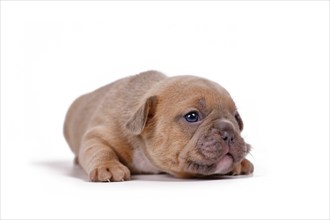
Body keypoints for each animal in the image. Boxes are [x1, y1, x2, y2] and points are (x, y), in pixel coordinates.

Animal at [65, 71, 255, 182]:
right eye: (192, 116)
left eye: (237, 118)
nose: (229, 132)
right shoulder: (97, 134)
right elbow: (99, 149)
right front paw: (108, 166)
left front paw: (240, 163)